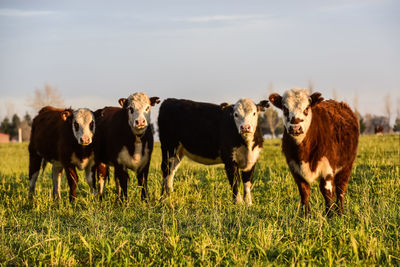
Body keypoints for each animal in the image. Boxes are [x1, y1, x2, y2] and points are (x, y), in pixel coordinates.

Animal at [268, 89, 360, 217]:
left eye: (307, 108)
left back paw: (341, 212)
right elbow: (304, 191)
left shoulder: (327, 168)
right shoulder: (295, 168)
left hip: (347, 165)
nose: (295, 128)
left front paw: (330, 215)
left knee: (341, 189)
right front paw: (306, 216)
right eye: (285, 109)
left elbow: (327, 192)